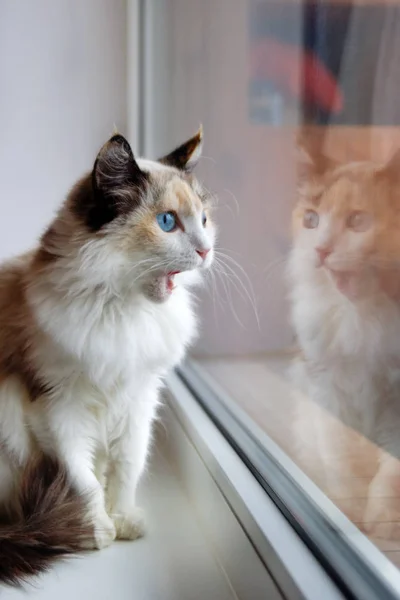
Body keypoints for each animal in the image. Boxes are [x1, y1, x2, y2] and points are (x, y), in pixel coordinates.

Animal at [0, 124, 216, 584]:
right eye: (167, 222)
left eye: (204, 220)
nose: (206, 250)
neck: (120, 311)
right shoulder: (56, 411)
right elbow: (83, 481)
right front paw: (96, 529)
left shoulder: (138, 400)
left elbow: (125, 469)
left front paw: (124, 519)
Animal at [288, 144, 400, 540]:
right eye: (311, 220)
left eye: (358, 222)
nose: (321, 250)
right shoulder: (326, 384)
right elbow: (340, 457)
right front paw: (346, 511)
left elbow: (391, 473)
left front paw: (383, 519)